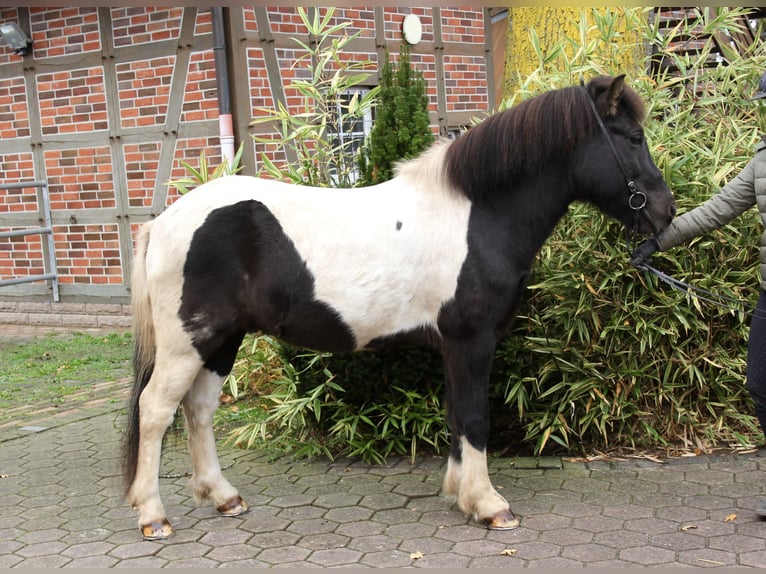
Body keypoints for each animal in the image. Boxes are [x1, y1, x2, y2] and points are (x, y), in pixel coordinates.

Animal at [123, 74, 675, 540]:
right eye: (633, 138)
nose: (666, 210)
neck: (475, 214)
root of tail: (163, 222)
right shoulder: (471, 340)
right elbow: (474, 416)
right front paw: (489, 504)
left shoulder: (454, 346)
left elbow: (456, 416)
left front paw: (460, 494)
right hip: (187, 343)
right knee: (155, 411)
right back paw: (153, 516)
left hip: (221, 340)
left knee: (198, 409)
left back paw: (223, 496)